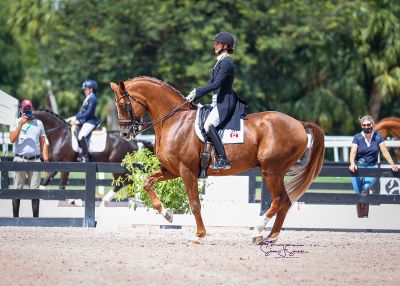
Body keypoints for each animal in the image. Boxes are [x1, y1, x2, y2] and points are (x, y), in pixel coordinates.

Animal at [110, 76, 324, 244]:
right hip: (275, 172)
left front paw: (198, 235)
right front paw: (167, 214)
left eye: (123, 105)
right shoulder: (171, 170)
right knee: (285, 201)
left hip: (271, 170)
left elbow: (194, 203)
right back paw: (271, 237)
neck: (175, 121)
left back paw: (257, 230)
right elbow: (147, 182)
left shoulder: (186, 170)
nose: (125, 134)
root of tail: (299, 123)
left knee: (279, 200)